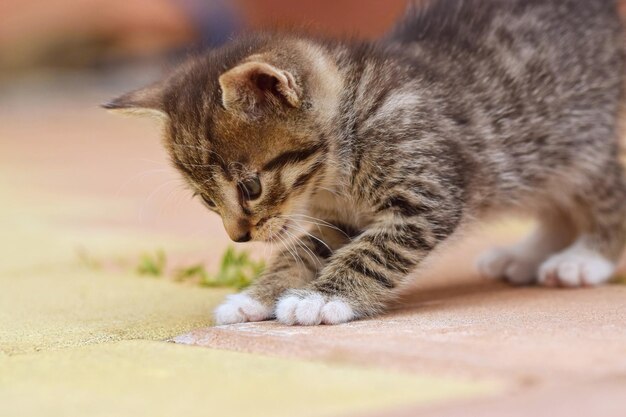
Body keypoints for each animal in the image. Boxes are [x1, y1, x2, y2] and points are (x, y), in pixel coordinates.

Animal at [106, 0, 624, 324]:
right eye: (206, 201)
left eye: (250, 187)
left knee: (608, 196)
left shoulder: (427, 194)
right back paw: (529, 254)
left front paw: (322, 300)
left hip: (591, 147)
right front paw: (258, 297)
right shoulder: (333, 218)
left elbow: (375, 251)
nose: (238, 237)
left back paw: (584, 259)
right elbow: (299, 252)